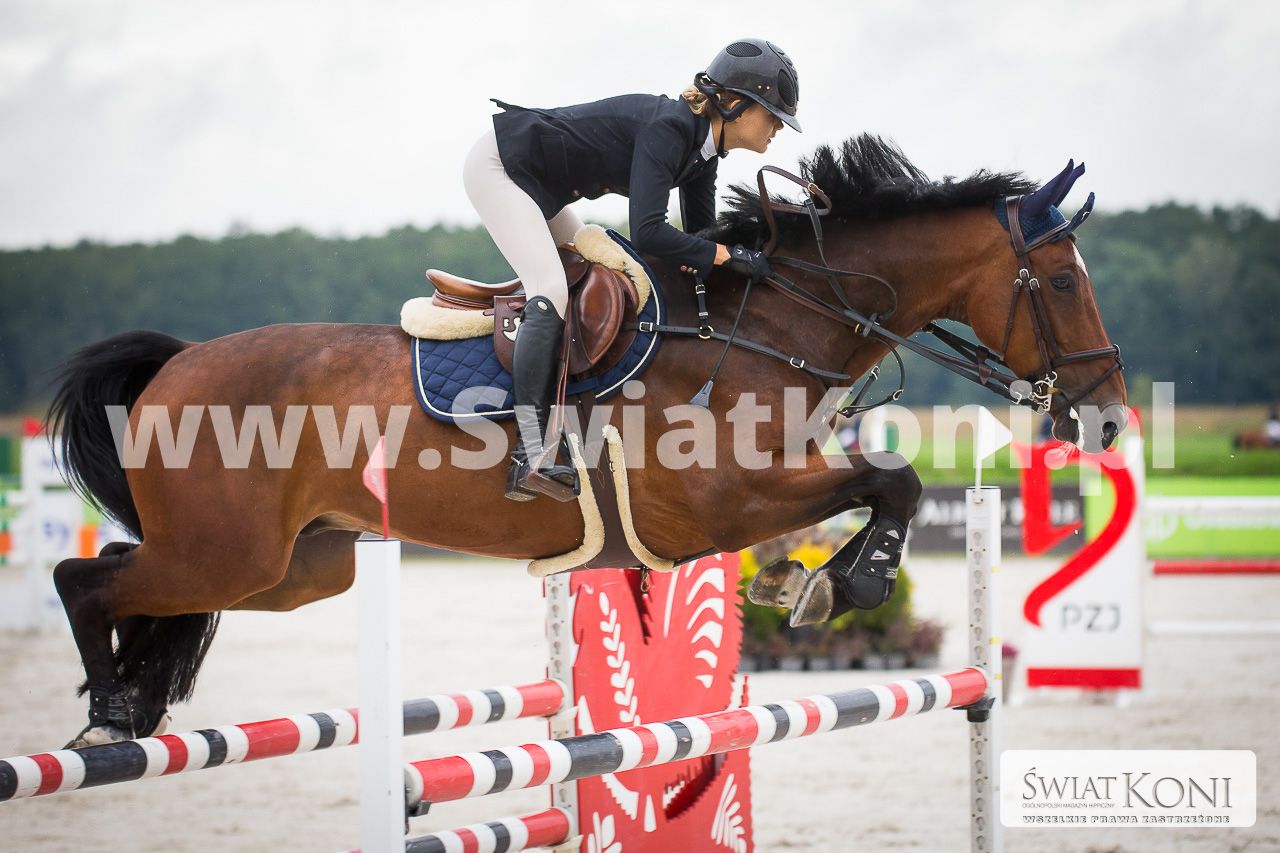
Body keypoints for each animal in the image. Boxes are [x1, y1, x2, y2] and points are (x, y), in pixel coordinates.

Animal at [46, 135, 1126, 746]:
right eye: (1060, 280)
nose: (1110, 416)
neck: (763, 326)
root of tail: (179, 363)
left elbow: (879, 484)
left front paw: (804, 583)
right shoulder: (723, 503)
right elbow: (891, 478)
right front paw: (841, 586)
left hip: (295, 569)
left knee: (135, 587)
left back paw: (127, 705)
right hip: (225, 552)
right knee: (84, 577)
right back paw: (108, 714)